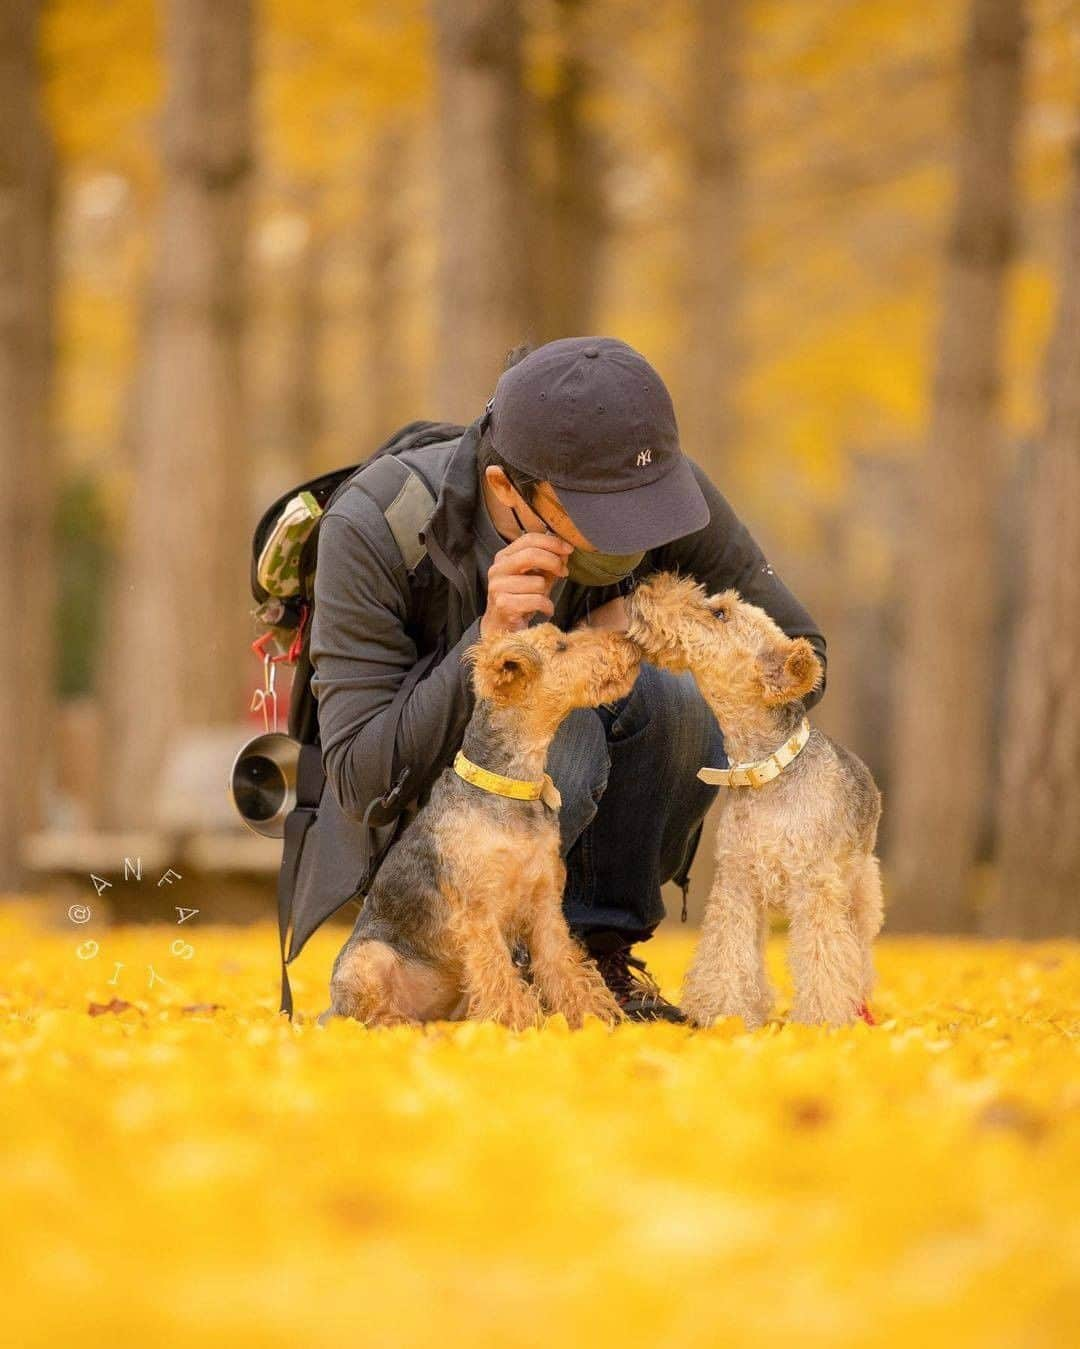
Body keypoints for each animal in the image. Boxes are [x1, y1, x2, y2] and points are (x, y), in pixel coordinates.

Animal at [322, 625, 641, 1025]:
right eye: (561, 645)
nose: (629, 639)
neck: (507, 784)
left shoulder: (546, 906)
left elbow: (562, 968)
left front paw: (586, 1020)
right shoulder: (479, 912)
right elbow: (499, 974)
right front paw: (519, 1025)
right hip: (367, 959)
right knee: (369, 1017)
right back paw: (400, 1025)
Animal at [622, 571, 884, 1030]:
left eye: (720, 613)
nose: (648, 583)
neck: (766, 770)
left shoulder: (815, 888)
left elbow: (824, 960)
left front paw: (822, 1022)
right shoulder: (737, 882)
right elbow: (726, 954)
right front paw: (724, 1014)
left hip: (858, 890)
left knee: (859, 955)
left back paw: (859, 1006)